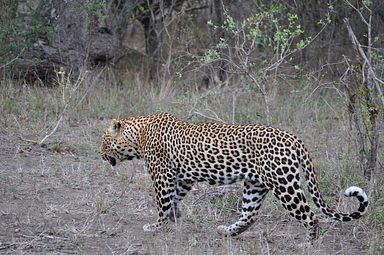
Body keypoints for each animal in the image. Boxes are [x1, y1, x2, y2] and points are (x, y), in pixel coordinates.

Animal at [99, 112, 368, 240]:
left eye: (104, 140)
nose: (100, 154)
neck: (138, 136)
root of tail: (294, 138)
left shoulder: (161, 175)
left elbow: (162, 201)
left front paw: (156, 225)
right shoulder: (183, 178)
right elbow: (174, 198)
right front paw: (175, 217)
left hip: (285, 184)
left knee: (310, 216)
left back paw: (308, 245)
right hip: (255, 185)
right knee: (250, 215)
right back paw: (227, 232)